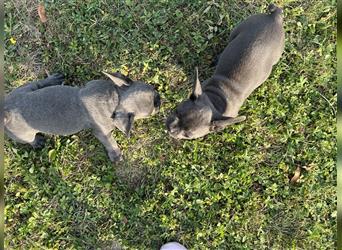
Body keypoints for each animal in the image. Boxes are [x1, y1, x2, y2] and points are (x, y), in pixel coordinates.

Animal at [5, 72, 160, 162]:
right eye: (152, 109)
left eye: (154, 91)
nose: (160, 101)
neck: (116, 99)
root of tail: (5, 109)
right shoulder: (102, 132)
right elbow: (111, 142)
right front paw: (116, 155)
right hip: (23, 134)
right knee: (29, 140)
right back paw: (37, 142)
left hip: (25, 89)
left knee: (35, 83)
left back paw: (52, 79)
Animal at [167, 3, 284, 140]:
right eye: (177, 111)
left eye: (187, 135)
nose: (171, 129)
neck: (215, 100)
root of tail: (274, 17)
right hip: (240, 29)